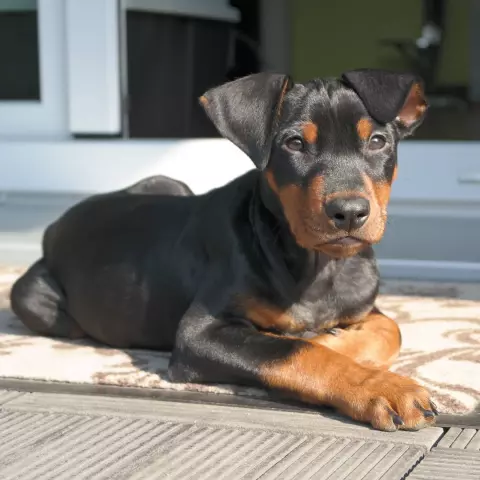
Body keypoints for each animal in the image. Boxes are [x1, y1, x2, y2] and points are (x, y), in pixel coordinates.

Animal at [9, 68, 436, 432]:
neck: (317, 264)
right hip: (33, 298)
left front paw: (333, 340)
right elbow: (295, 352)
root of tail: (57, 224)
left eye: (377, 141)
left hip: (166, 182)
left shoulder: (362, 302)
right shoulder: (199, 334)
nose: (349, 212)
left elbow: (391, 328)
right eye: (295, 143)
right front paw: (382, 385)